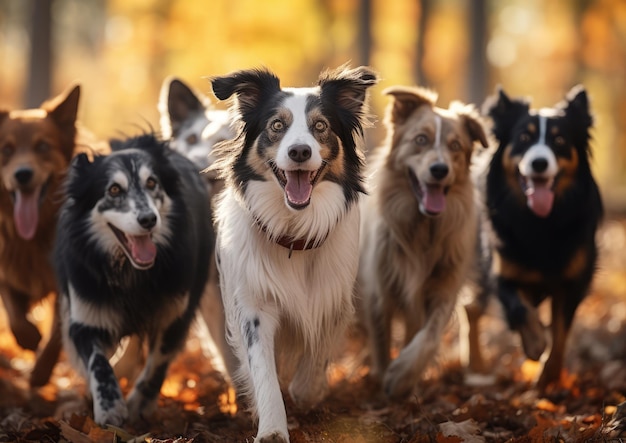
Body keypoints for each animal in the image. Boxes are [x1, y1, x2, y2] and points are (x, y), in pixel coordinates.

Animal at [0, 84, 98, 388]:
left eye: (43, 146)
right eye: (6, 149)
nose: (22, 174)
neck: (32, 236)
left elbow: (58, 330)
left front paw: (42, 371)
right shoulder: (6, 269)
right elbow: (14, 313)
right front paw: (28, 338)